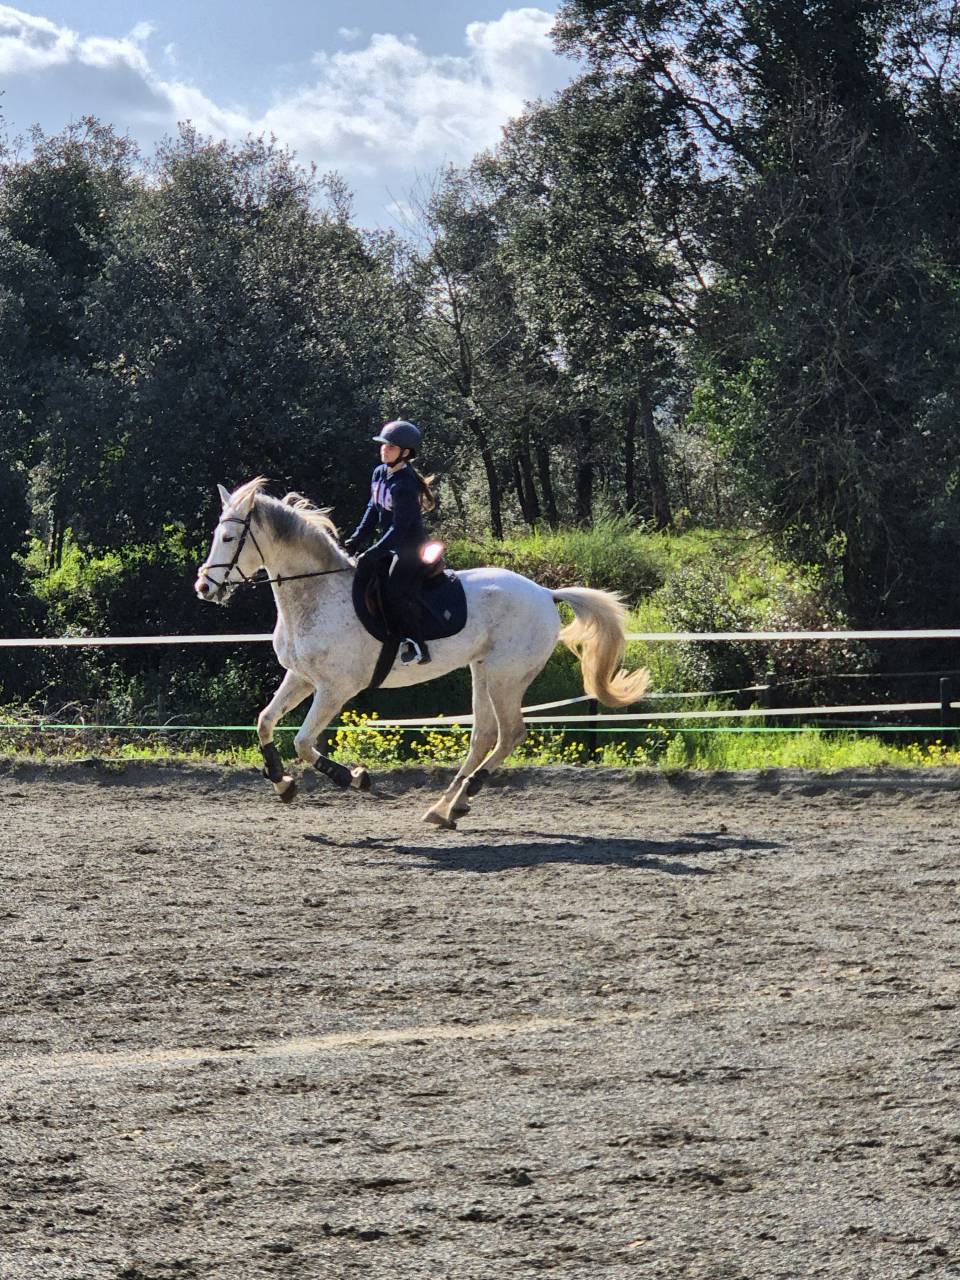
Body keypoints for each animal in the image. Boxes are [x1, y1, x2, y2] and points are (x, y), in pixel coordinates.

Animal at [195, 478, 650, 829]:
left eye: (230, 538)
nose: (203, 587)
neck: (315, 593)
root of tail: (544, 592)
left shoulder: (335, 688)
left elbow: (305, 743)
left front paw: (355, 778)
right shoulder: (302, 678)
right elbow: (265, 722)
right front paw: (282, 783)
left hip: (505, 676)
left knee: (510, 733)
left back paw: (462, 798)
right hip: (482, 672)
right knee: (485, 736)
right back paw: (446, 808)